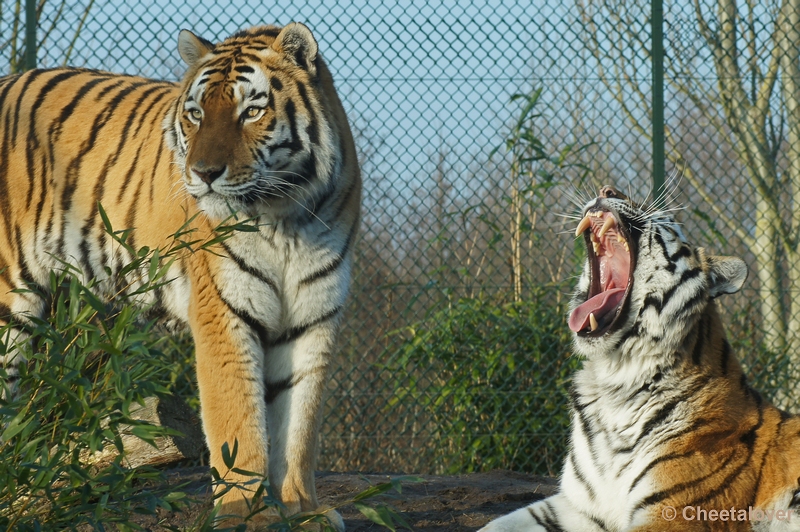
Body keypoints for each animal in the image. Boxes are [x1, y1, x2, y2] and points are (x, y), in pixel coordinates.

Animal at [0, 21, 360, 528]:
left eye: (252, 112)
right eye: (196, 114)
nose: (203, 173)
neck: (285, 215)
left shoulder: (312, 318)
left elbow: (298, 428)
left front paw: (302, 510)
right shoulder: (224, 314)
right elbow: (238, 421)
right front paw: (245, 515)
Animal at [482, 185, 800, 528]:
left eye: (660, 215)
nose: (607, 189)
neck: (614, 379)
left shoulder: (676, 513)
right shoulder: (579, 505)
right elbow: (496, 524)